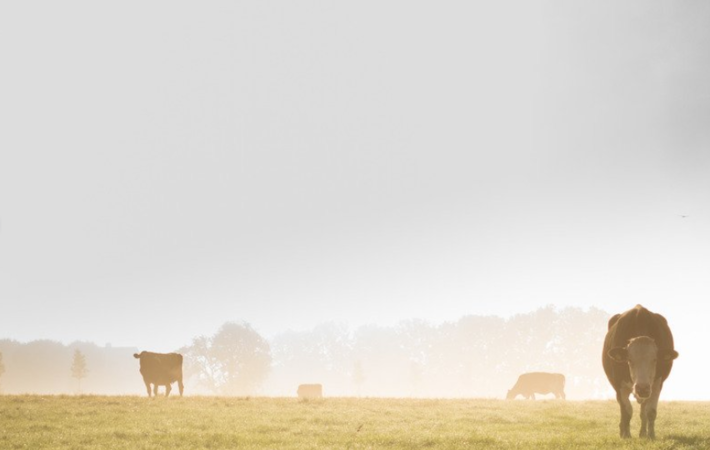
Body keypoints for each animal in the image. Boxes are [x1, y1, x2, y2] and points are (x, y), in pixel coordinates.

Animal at [604, 304, 680, 438]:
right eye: (629, 360)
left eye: (655, 359)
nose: (642, 388)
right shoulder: (619, 385)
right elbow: (627, 411)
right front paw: (626, 435)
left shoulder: (656, 384)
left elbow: (650, 411)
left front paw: (651, 435)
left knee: (643, 410)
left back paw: (643, 433)